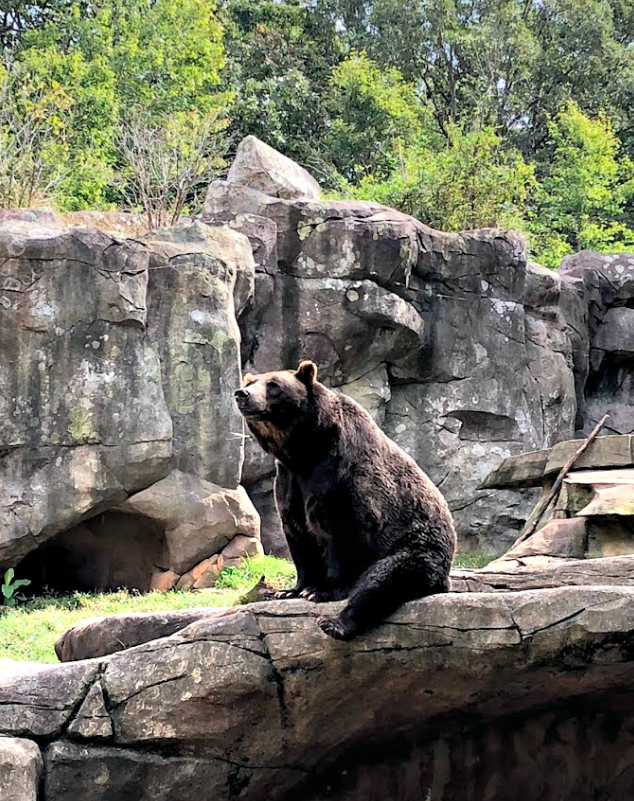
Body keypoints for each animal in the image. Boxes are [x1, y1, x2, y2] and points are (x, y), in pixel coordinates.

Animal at [232, 360, 454, 640]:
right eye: (251, 381)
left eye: (273, 385)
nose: (242, 394)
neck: (305, 450)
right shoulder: (289, 481)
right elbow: (298, 534)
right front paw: (293, 589)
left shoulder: (340, 473)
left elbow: (348, 529)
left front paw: (325, 589)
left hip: (417, 549)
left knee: (383, 579)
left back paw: (335, 622)